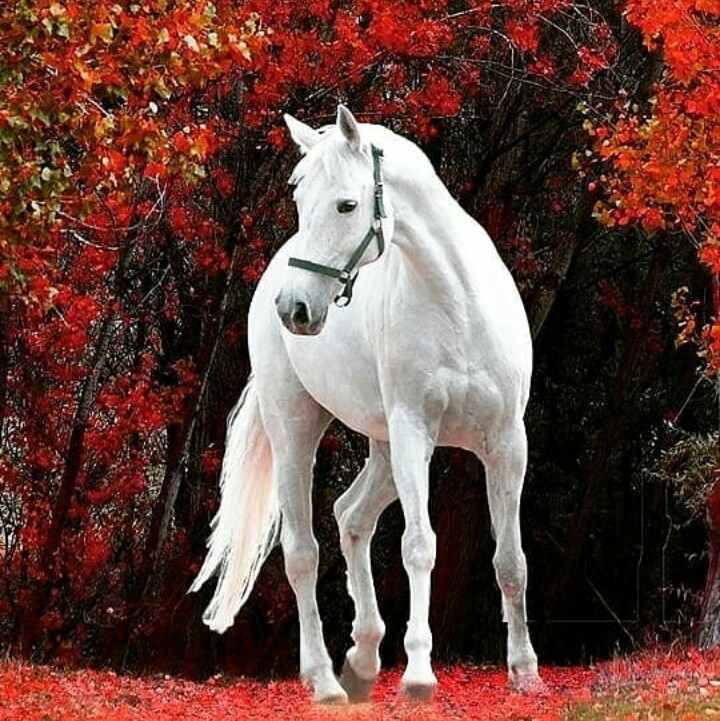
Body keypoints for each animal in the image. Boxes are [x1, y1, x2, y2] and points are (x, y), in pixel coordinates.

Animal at [190, 105, 542, 703]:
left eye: (346, 205)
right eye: (300, 203)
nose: (295, 309)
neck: (458, 303)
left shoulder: (505, 445)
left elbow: (512, 561)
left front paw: (525, 671)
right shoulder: (413, 435)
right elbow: (419, 546)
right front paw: (420, 676)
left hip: (381, 451)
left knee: (349, 516)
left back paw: (363, 657)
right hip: (300, 434)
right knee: (303, 551)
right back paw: (325, 679)